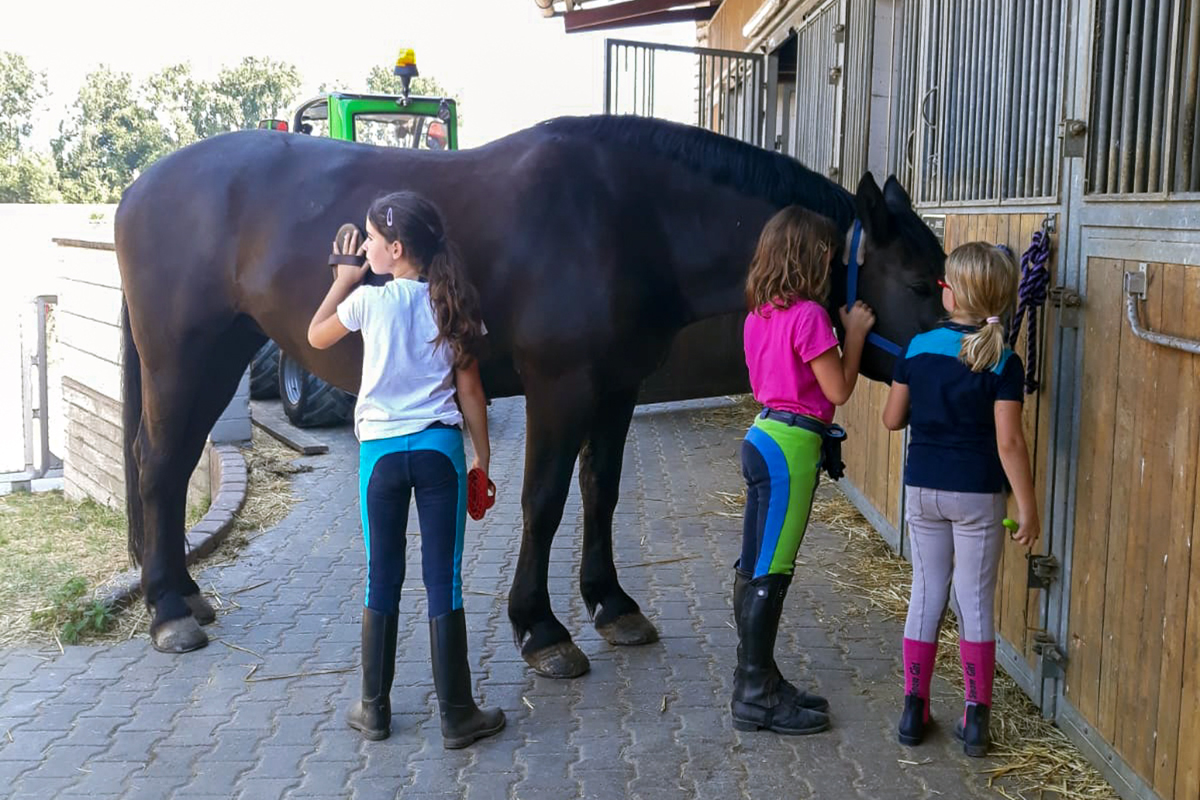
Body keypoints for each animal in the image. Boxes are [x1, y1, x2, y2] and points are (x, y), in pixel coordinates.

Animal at [117, 115, 950, 671]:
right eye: (916, 283)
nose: (959, 374)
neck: (627, 216)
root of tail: (137, 188)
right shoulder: (562, 386)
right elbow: (543, 501)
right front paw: (541, 629)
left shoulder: (616, 389)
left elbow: (600, 492)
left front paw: (612, 605)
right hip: (183, 357)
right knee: (159, 464)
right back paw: (169, 610)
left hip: (220, 354)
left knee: (172, 461)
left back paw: (184, 593)